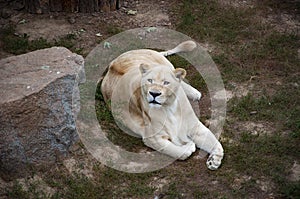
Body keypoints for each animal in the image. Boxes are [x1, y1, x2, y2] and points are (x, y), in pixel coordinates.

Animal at [102, 40, 224, 169]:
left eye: (166, 83)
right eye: (149, 81)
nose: (154, 93)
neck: (169, 107)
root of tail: (114, 61)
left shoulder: (194, 126)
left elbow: (215, 142)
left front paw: (214, 160)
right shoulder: (152, 137)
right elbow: (180, 152)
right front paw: (189, 146)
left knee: (179, 77)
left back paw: (195, 93)